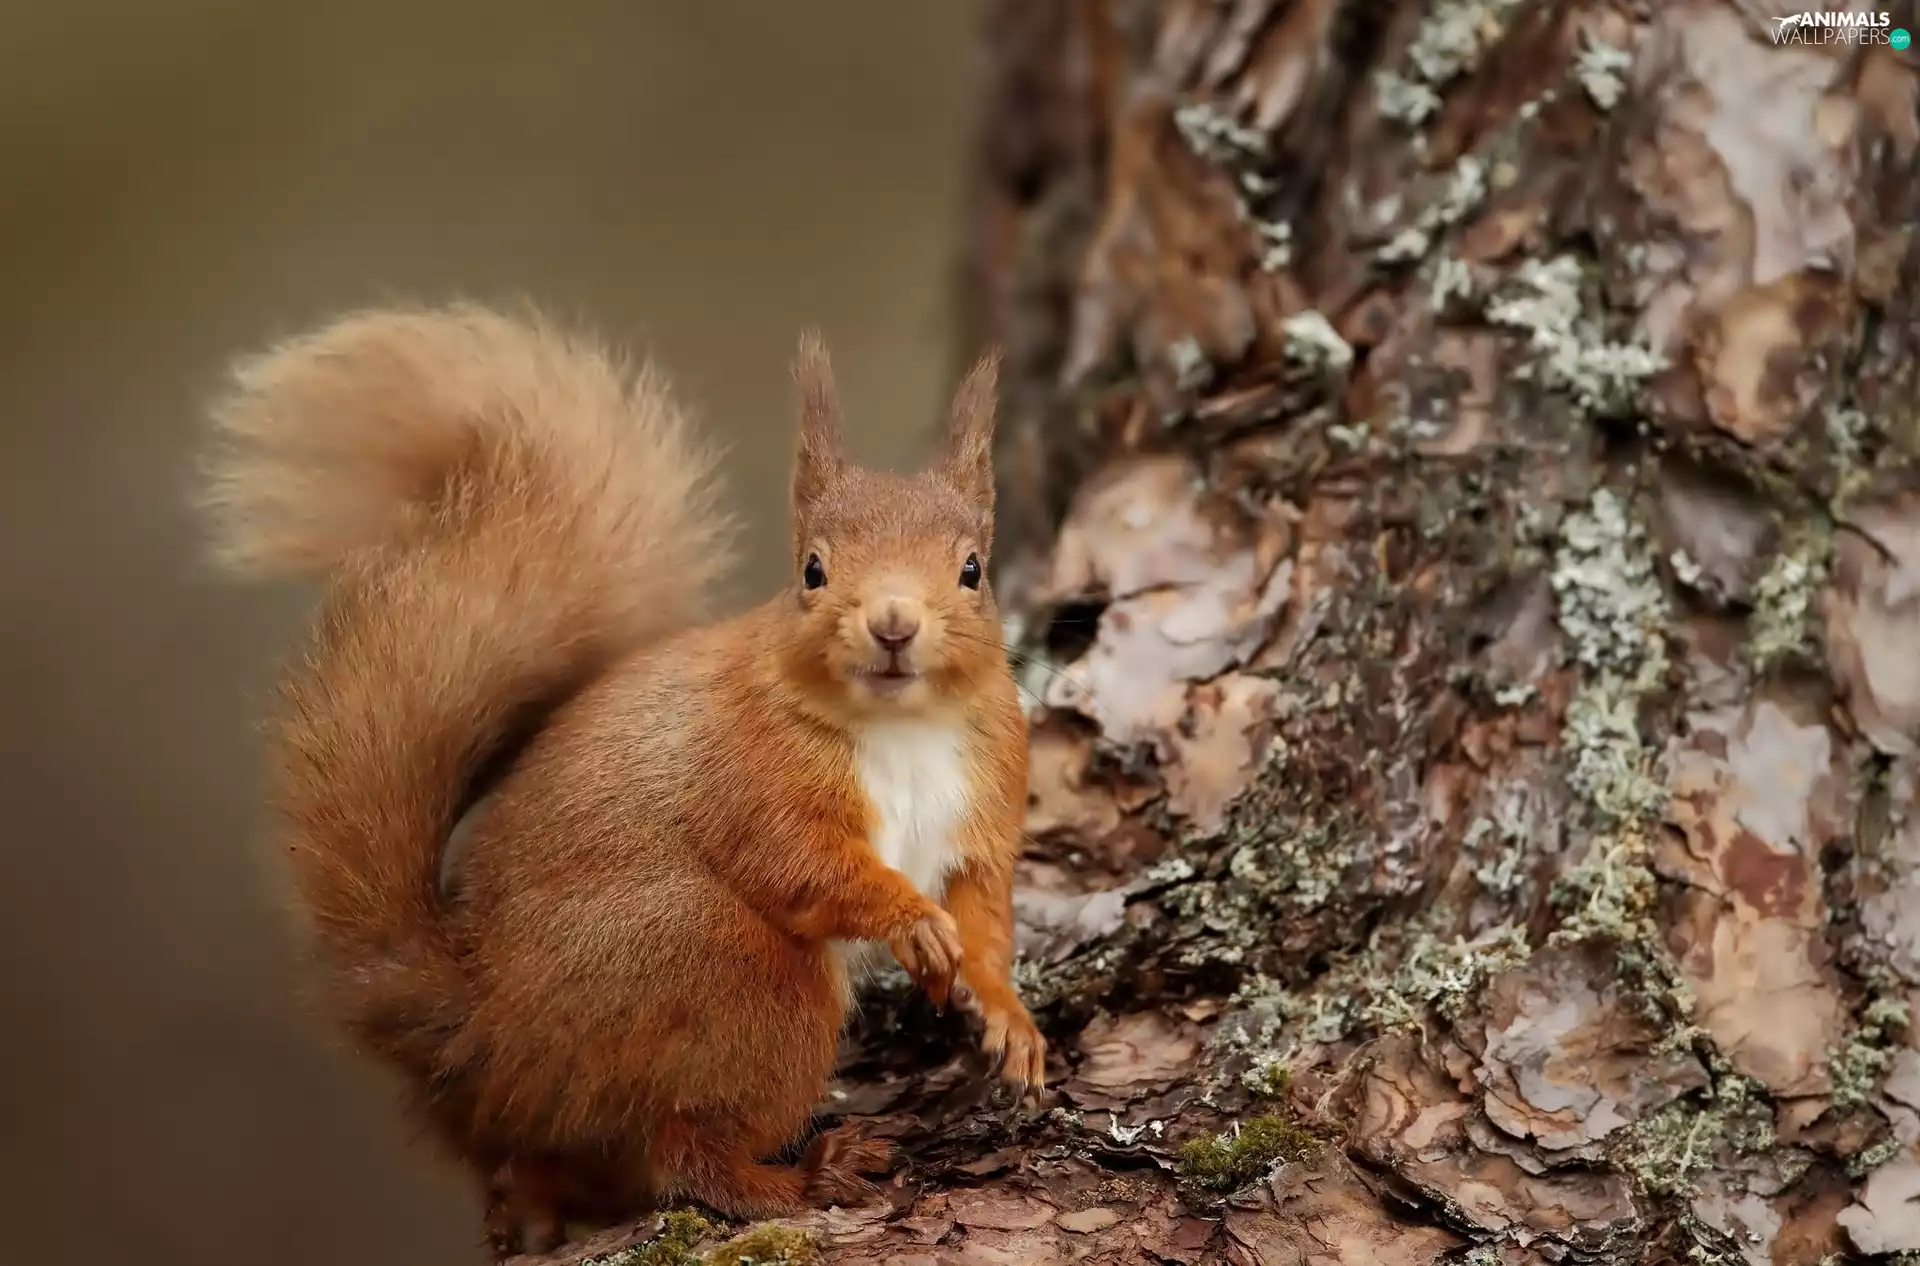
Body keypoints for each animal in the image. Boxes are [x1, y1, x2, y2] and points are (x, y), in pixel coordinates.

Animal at [200, 304, 1047, 1256]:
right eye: (812, 570)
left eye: (973, 569)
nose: (894, 624)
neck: (901, 727)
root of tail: (479, 1042)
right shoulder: (748, 773)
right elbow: (803, 866)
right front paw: (911, 922)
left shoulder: (986, 799)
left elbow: (983, 912)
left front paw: (1006, 1016)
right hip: (729, 972)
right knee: (681, 1149)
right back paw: (802, 1176)